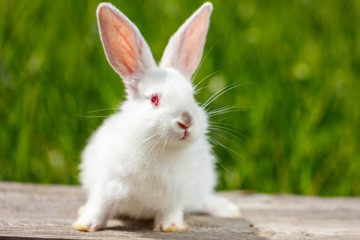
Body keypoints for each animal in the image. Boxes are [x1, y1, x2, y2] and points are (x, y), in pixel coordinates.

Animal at [73, 0, 239, 232]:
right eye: (154, 99)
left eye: (192, 96)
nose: (186, 122)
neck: (161, 147)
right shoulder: (107, 183)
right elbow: (100, 206)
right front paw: (85, 224)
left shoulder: (176, 194)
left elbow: (170, 210)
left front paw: (169, 226)